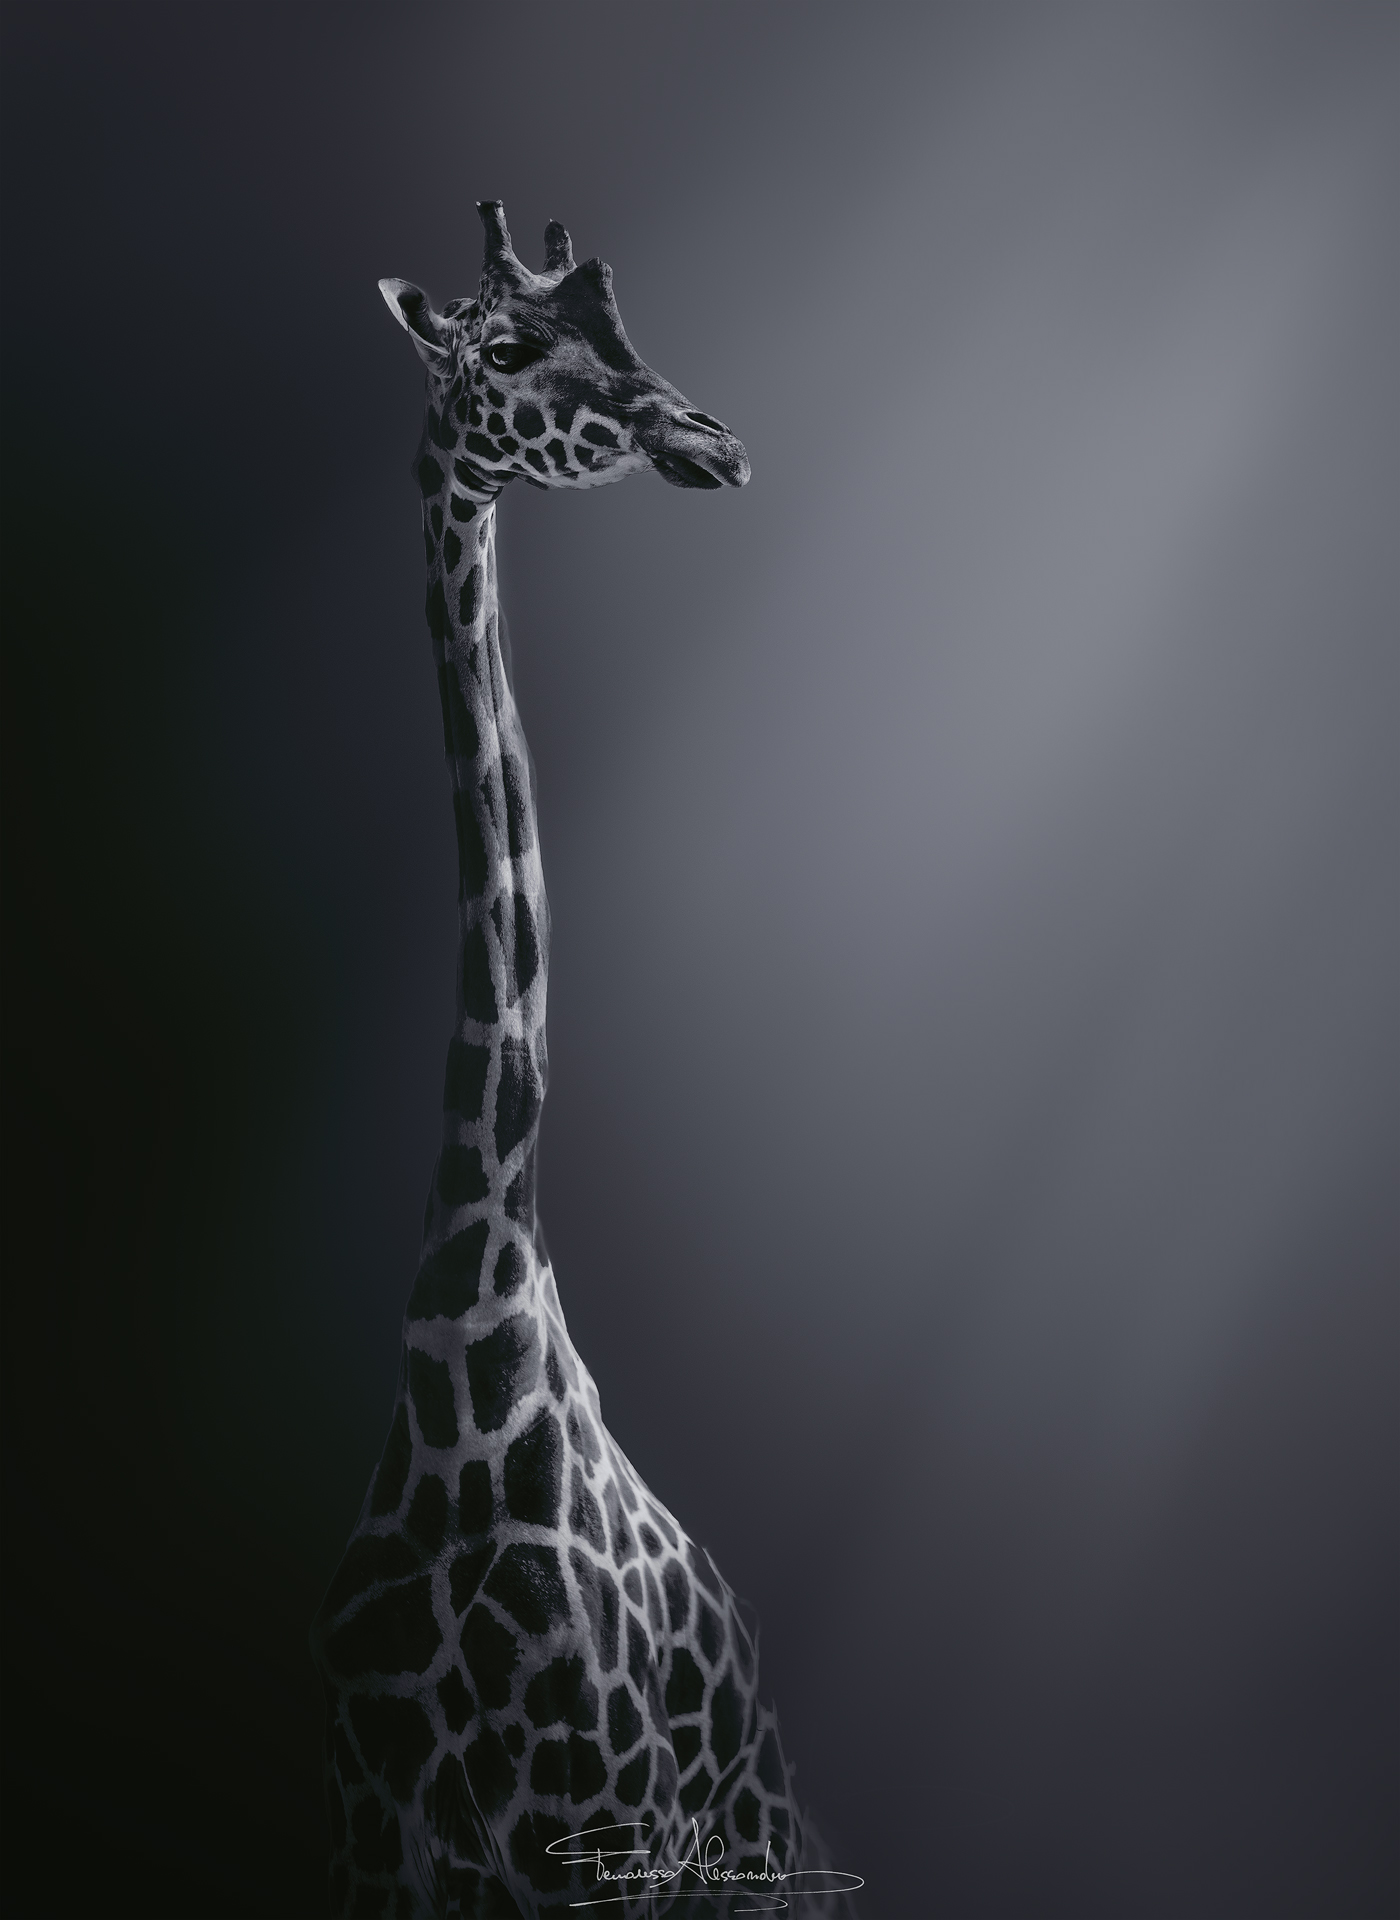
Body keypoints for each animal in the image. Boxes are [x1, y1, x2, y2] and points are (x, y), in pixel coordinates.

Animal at [311, 203, 858, 1920]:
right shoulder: (379, 1836)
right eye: (504, 346)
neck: (463, 1348)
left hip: (735, 1865)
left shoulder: (597, 1840)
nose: (709, 436)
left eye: (625, 319)